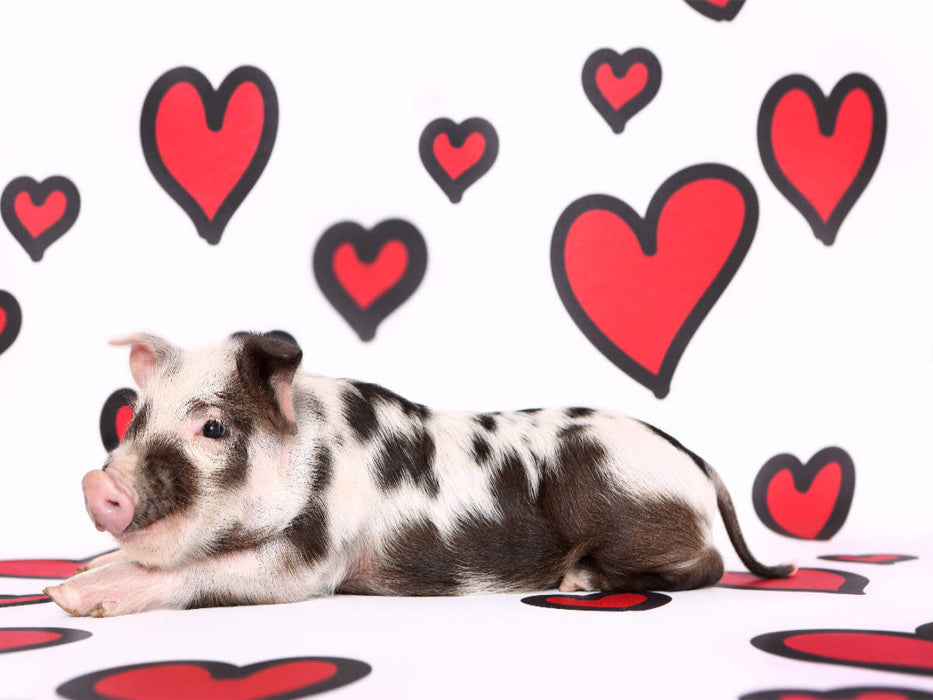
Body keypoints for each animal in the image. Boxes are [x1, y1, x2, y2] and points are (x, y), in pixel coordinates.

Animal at [45, 332, 794, 617]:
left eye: (214, 429)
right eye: (136, 417)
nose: (98, 485)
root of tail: (697, 463)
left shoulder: (315, 558)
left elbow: (203, 573)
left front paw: (76, 599)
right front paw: (68, 581)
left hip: (622, 499)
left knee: (709, 565)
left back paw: (579, 583)